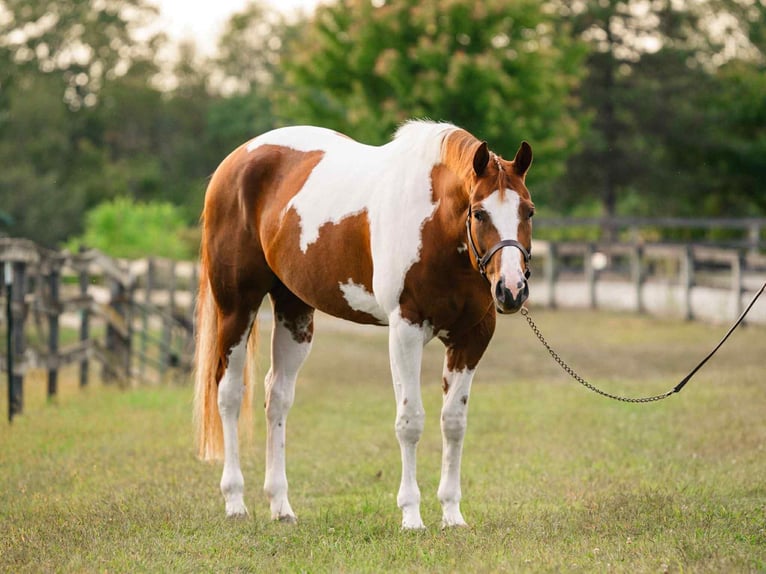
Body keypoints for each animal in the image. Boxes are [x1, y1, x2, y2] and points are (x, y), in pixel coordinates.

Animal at [193, 120, 535, 530]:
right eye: (480, 213)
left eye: (529, 211)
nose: (511, 289)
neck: (434, 225)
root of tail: (236, 160)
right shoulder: (406, 331)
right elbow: (410, 422)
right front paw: (411, 515)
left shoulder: (471, 338)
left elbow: (453, 423)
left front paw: (452, 514)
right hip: (237, 307)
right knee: (229, 394)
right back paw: (235, 501)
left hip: (294, 311)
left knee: (277, 397)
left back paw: (281, 505)